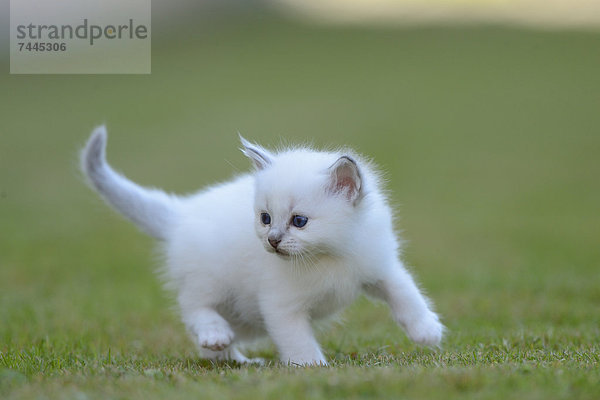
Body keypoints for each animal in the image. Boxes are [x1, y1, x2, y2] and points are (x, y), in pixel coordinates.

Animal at [81, 126, 440, 366]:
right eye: (266, 218)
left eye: (299, 221)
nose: (272, 240)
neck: (328, 255)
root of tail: (181, 213)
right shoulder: (281, 305)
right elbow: (296, 340)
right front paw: (312, 367)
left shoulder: (380, 265)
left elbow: (407, 295)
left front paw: (427, 332)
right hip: (212, 283)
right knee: (194, 309)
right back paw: (216, 335)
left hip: (244, 316)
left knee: (210, 346)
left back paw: (234, 359)